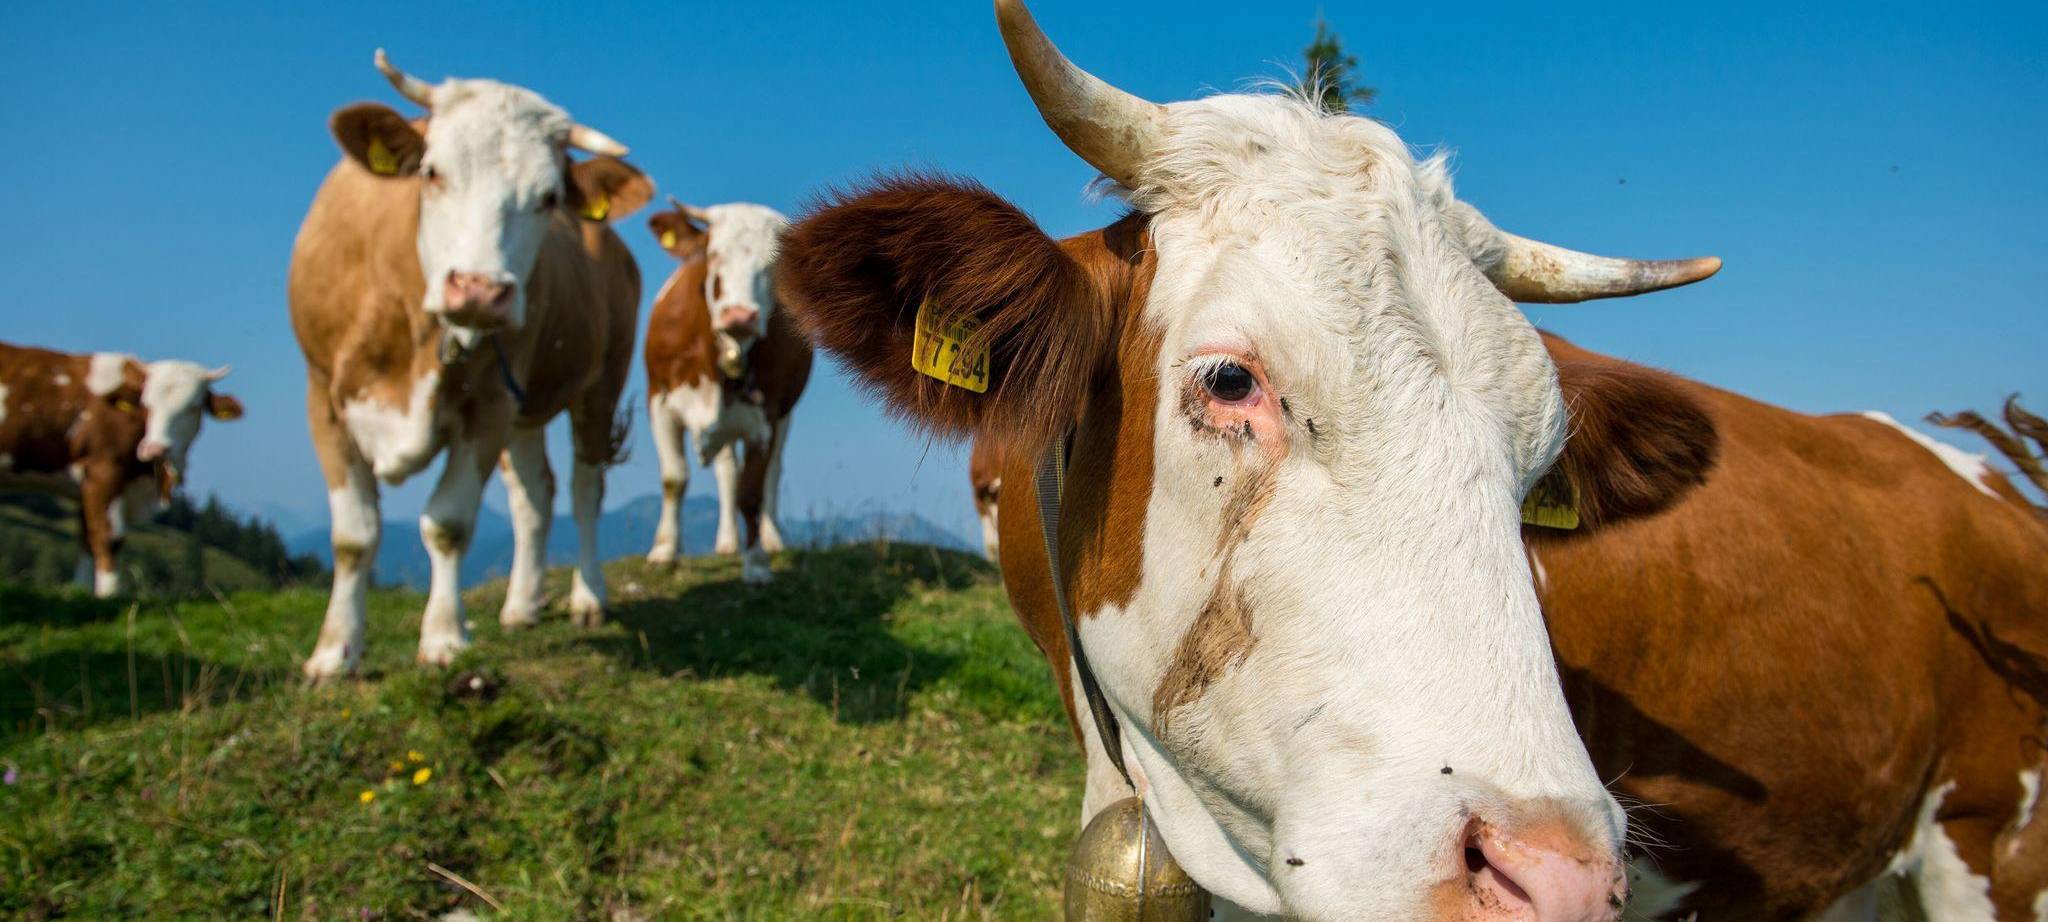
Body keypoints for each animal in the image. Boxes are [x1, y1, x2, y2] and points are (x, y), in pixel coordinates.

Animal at [0, 341, 242, 596]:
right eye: (146, 404)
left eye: (194, 408)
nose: (155, 449)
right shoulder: (104, 471)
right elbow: (109, 539)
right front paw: (110, 595)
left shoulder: (86, 487)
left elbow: (87, 541)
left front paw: (83, 593)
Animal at [289, 51, 651, 679]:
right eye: (431, 172)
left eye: (549, 197)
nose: (481, 290)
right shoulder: (323, 396)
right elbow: (353, 535)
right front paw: (334, 653)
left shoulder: (489, 406)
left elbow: (448, 523)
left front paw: (443, 638)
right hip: (526, 406)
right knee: (535, 495)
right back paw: (522, 604)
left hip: (599, 382)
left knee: (584, 488)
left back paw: (588, 597)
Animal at [642, 199, 812, 584]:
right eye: (714, 255)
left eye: (773, 267)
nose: (740, 316)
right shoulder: (659, 401)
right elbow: (674, 478)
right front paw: (664, 551)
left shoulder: (765, 418)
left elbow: (752, 492)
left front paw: (757, 563)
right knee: (727, 471)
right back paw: (727, 542)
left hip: (785, 415)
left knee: (772, 473)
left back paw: (771, 538)